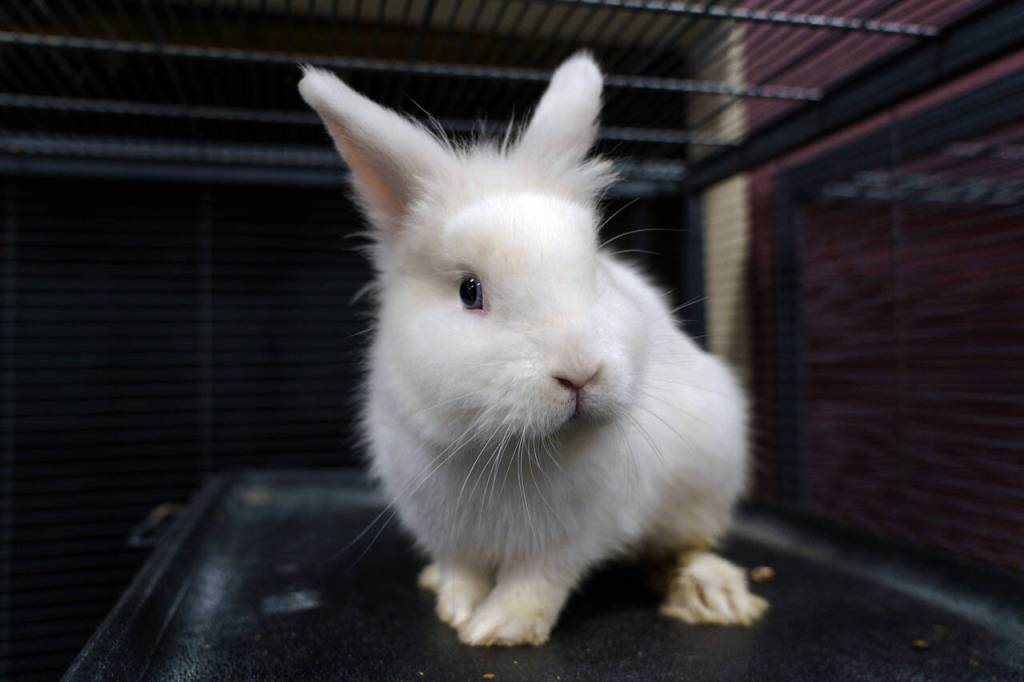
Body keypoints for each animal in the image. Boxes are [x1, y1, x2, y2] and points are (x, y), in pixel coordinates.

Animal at [298, 51, 767, 647]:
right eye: (469, 291)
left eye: (595, 273)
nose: (580, 373)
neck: (507, 451)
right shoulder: (445, 528)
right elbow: (461, 568)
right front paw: (455, 607)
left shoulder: (568, 538)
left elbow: (537, 581)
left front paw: (498, 629)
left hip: (703, 481)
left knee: (686, 544)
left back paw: (711, 591)